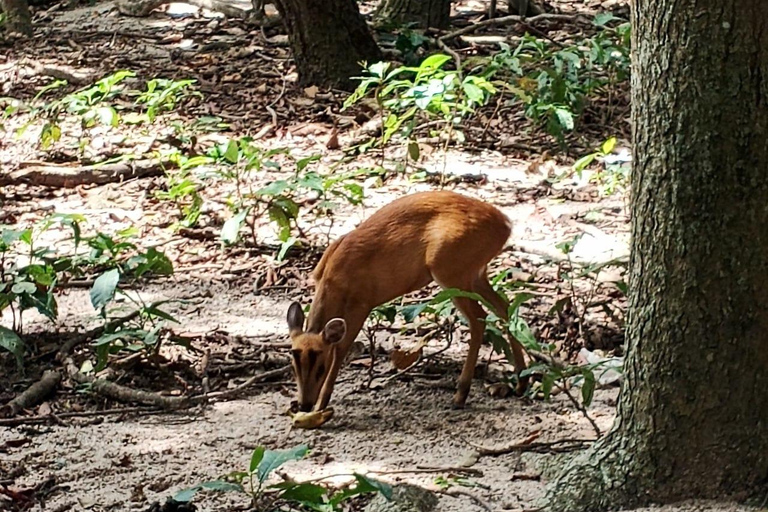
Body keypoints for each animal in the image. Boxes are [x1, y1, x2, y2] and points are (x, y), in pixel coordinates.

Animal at [284, 190, 532, 414]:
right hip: (475, 273)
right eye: (293, 365)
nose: (304, 405)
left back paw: (461, 395)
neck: (334, 280)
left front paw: (322, 405)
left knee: (479, 319)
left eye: (320, 367)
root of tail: (505, 225)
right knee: (504, 308)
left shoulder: (362, 303)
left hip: (450, 269)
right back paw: (521, 383)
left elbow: (341, 348)